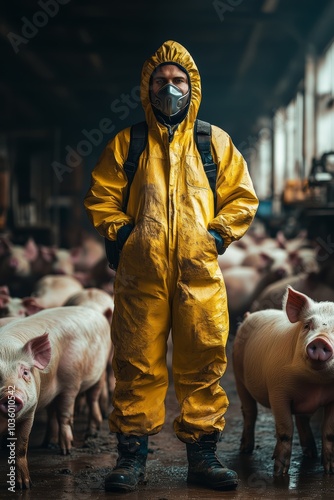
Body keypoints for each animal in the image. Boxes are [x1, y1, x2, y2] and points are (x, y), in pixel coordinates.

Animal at [0, 304, 112, 488]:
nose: (9, 395)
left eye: (25, 372)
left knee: (80, 405)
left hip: (84, 375)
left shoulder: (30, 410)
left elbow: (22, 446)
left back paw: (71, 447)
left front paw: (25, 486)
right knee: (53, 412)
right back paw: (49, 444)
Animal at [234, 286, 334, 476]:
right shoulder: (277, 392)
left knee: (302, 419)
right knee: (249, 412)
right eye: (307, 326)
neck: (314, 384)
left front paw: (330, 471)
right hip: (239, 377)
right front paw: (279, 473)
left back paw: (311, 454)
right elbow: (285, 430)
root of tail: (251, 315)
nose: (320, 340)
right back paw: (245, 450)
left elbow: (328, 432)